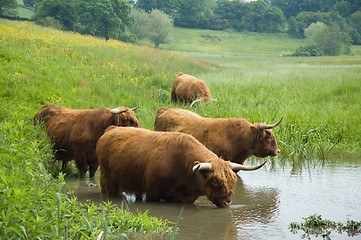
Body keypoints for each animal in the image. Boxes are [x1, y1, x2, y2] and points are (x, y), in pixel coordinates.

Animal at [95, 126, 264, 207]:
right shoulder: (153, 193)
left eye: (233, 181)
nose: (226, 202)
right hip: (110, 181)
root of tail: (111, 129)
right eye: (215, 181)